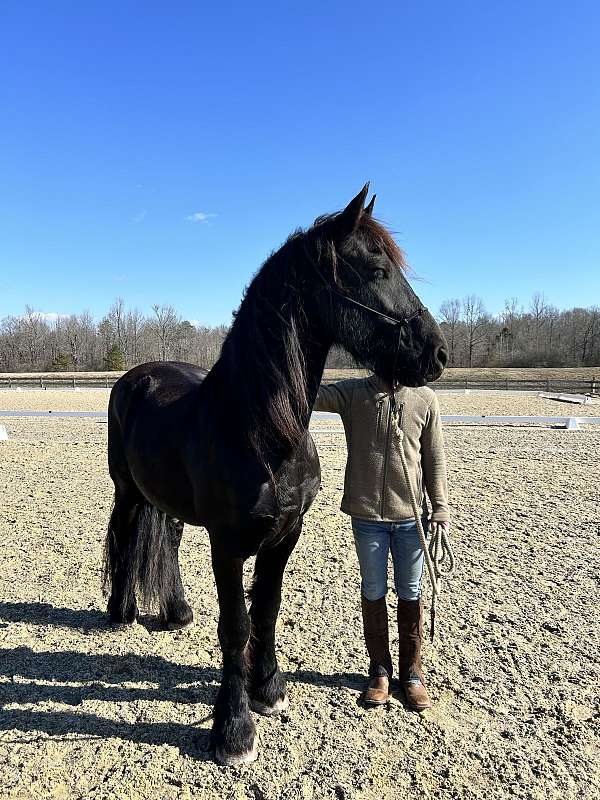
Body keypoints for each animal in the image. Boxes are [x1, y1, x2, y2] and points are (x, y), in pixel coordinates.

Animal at [103, 184, 448, 764]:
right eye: (377, 269)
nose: (437, 352)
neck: (260, 430)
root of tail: (136, 376)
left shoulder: (285, 534)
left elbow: (266, 610)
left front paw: (267, 690)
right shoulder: (227, 543)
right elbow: (235, 625)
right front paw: (233, 730)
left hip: (170, 502)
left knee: (166, 540)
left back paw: (175, 612)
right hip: (127, 491)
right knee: (127, 535)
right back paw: (121, 611)